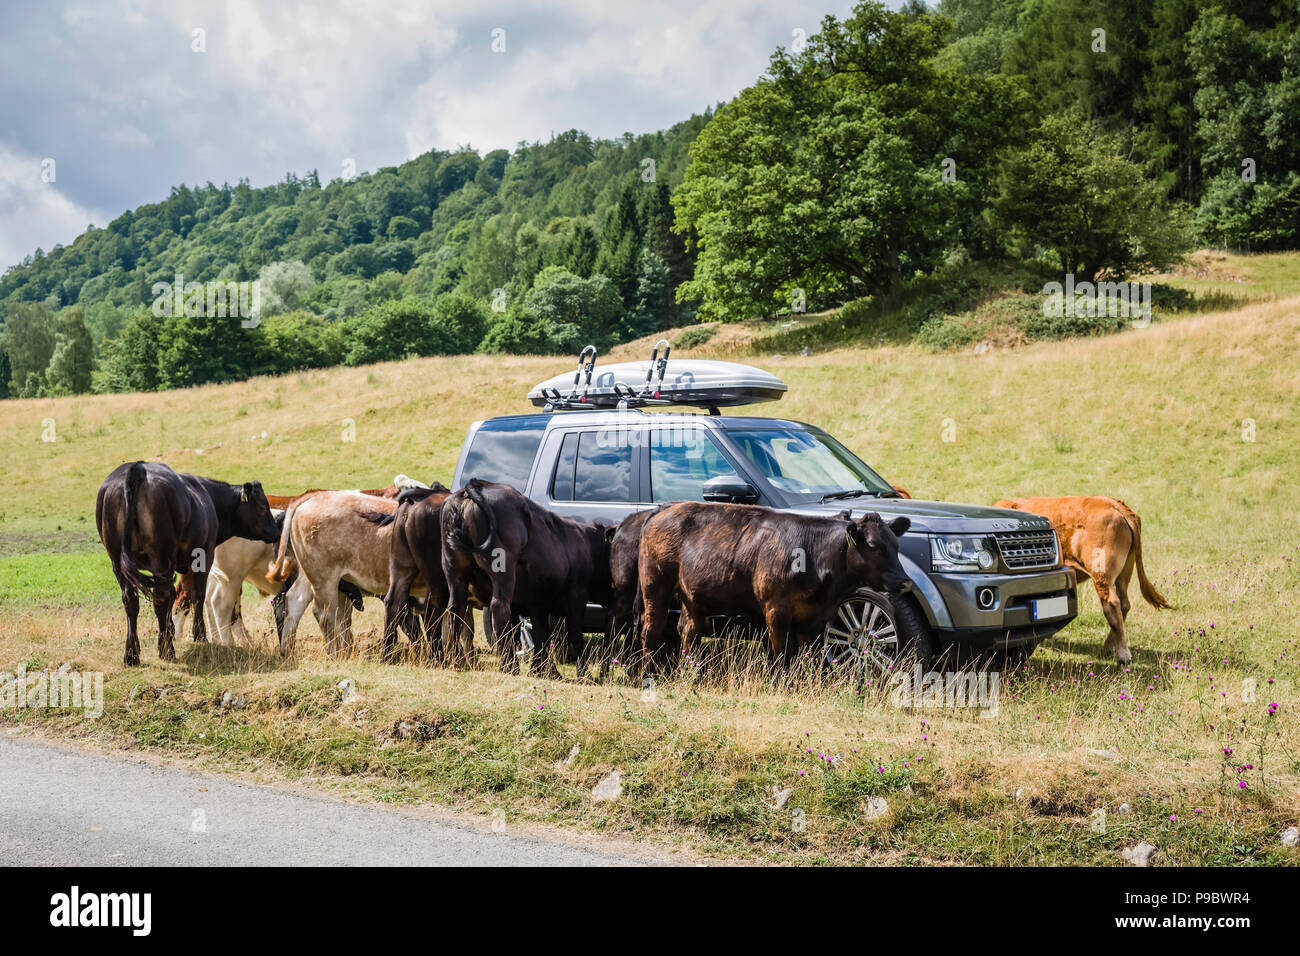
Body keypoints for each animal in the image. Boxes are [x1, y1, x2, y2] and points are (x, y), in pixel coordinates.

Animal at [95, 463, 279, 665]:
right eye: (262, 507)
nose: (276, 529)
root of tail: (138, 467)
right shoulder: (204, 555)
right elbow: (197, 594)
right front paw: (199, 635)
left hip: (118, 562)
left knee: (132, 599)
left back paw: (132, 655)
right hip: (162, 559)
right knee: (162, 597)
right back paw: (167, 650)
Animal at [441, 481, 613, 676]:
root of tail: (477, 486)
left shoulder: (537, 603)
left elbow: (542, 636)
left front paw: (542, 671)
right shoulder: (576, 595)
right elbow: (575, 635)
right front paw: (584, 675)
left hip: (455, 572)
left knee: (455, 610)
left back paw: (455, 661)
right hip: (503, 571)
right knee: (499, 609)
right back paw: (510, 666)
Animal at [634, 504, 909, 671]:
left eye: (896, 545)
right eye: (873, 546)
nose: (905, 581)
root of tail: (665, 507)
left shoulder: (815, 616)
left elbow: (808, 655)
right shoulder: (776, 610)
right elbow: (782, 652)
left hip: (692, 598)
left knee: (688, 632)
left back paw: (690, 671)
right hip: (655, 585)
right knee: (651, 630)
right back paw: (649, 672)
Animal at [993, 496, 1170, 660]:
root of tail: (1114, 504)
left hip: (1102, 574)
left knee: (1112, 605)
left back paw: (1122, 655)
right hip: (1124, 573)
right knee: (1124, 604)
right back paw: (1108, 648)